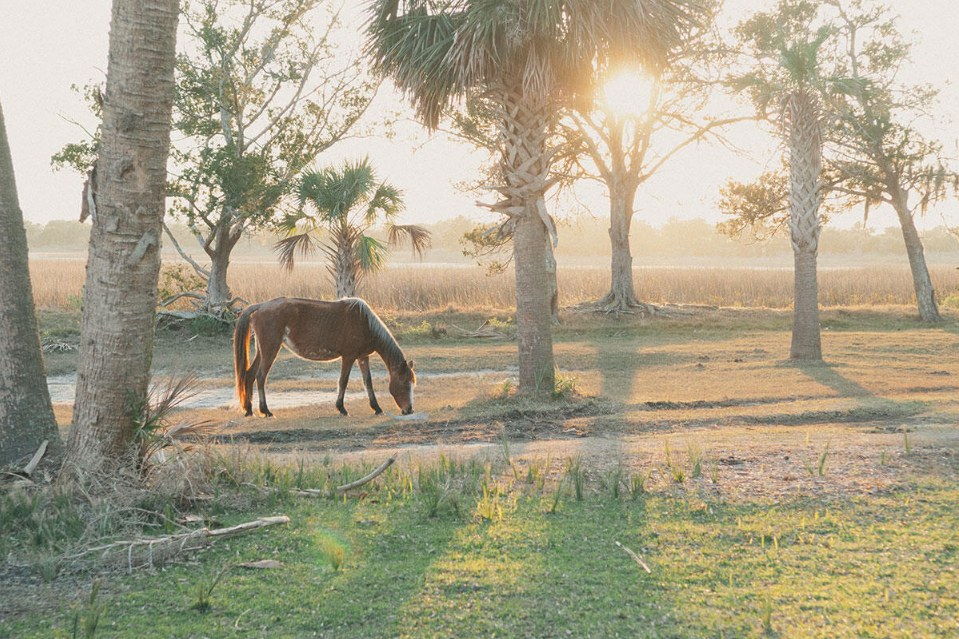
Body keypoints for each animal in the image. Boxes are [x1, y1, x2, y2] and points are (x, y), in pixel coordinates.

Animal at [233, 297, 415, 417]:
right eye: (405, 384)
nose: (409, 410)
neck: (364, 322)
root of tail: (261, 306)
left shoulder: (363, 357)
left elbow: (368, 382)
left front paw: (376, 408)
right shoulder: (348, 357)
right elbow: (343, 381)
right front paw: (341, 408)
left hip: (262, 351)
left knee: (250, 375)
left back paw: (249, 409)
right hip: (270, 349)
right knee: (260, 377)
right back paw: (265, 410)